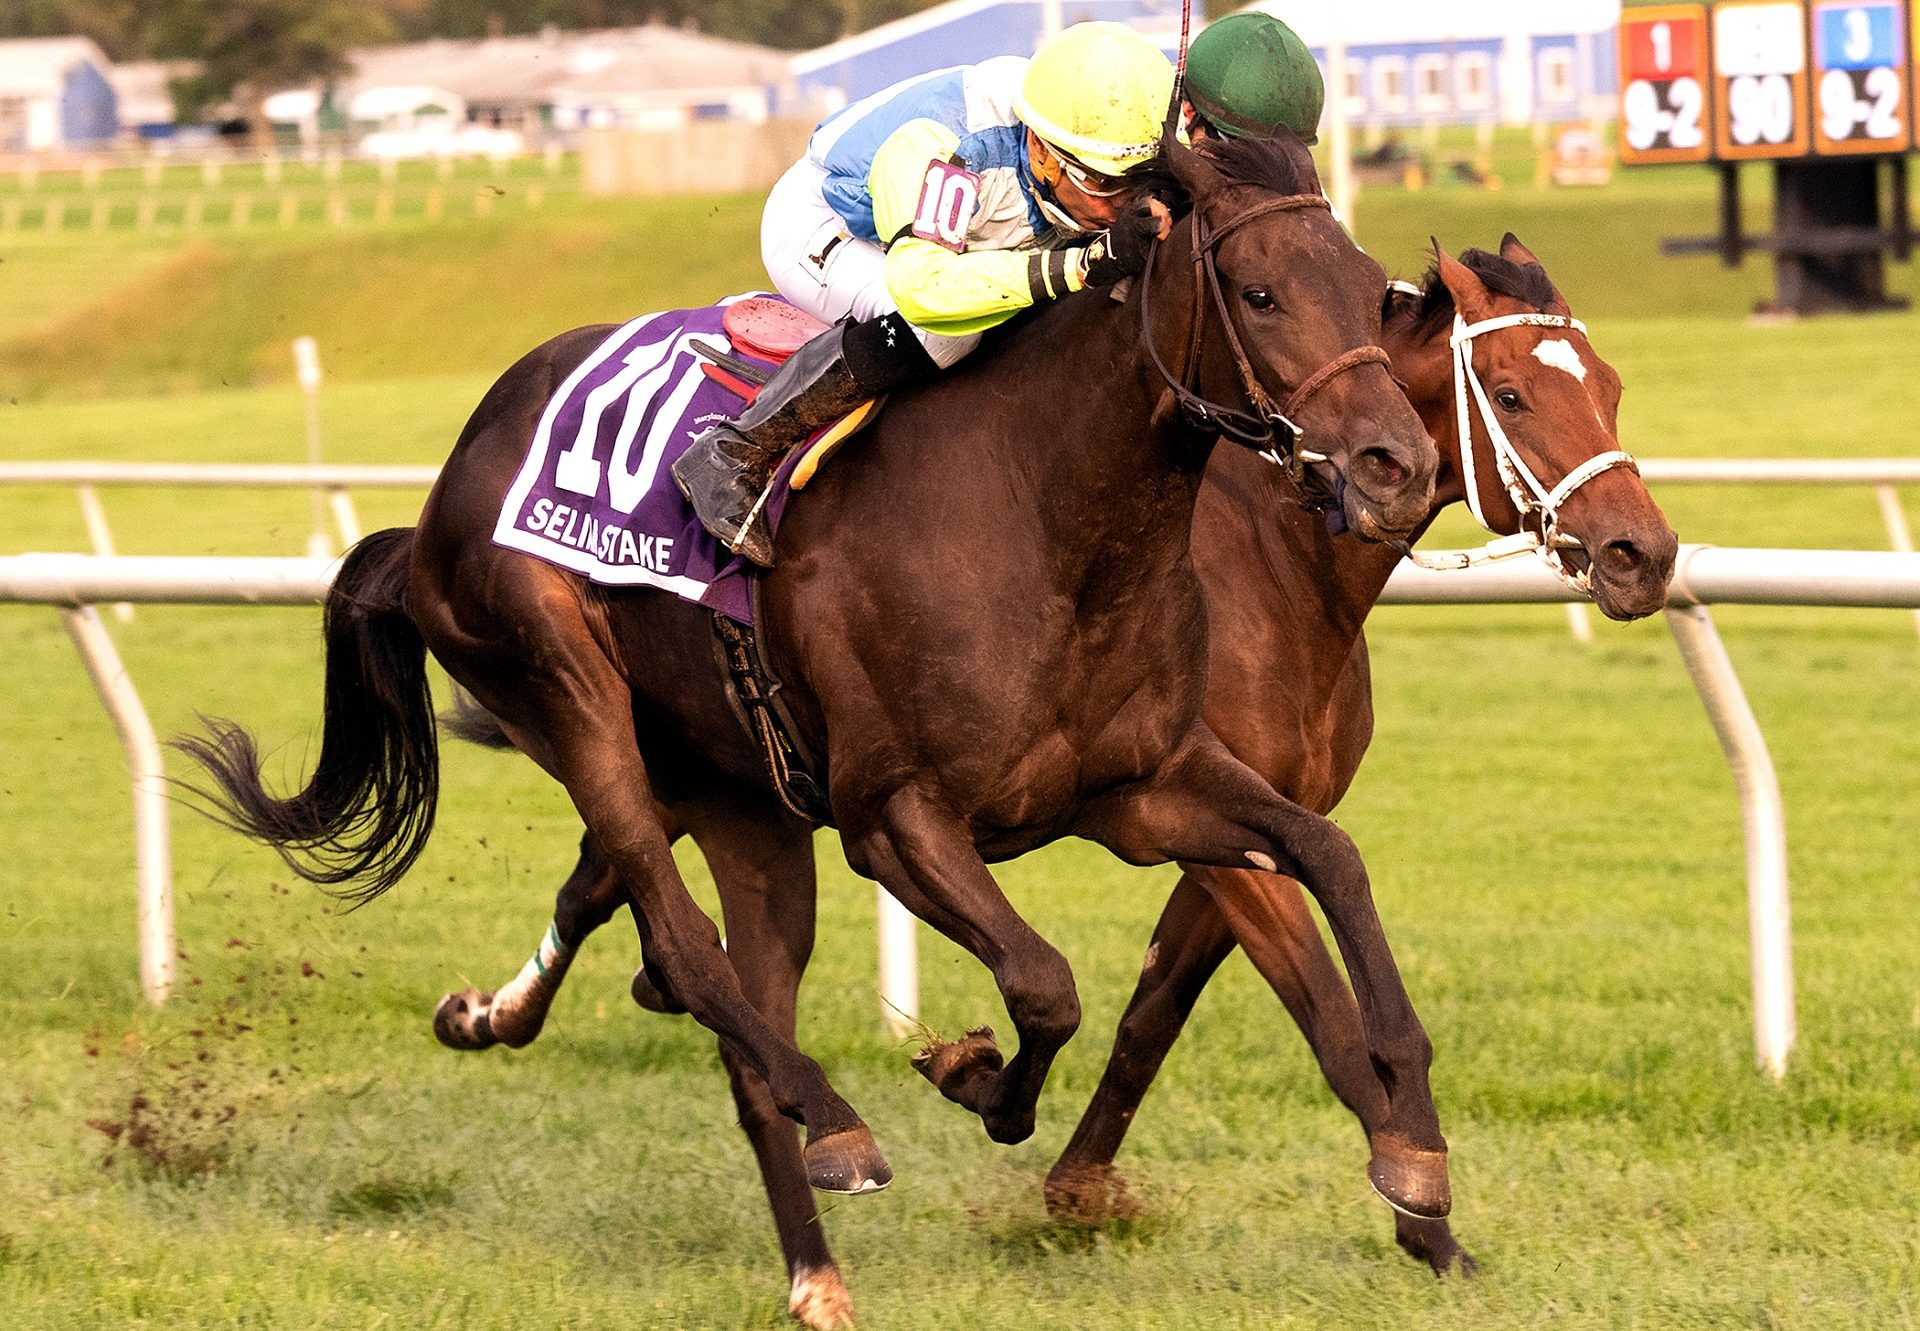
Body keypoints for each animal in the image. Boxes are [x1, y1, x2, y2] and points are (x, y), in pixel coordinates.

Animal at [183, 137, 1443, 1329]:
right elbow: (1044, 983)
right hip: (559, 681)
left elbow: (1329, 855)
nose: (1398, 464)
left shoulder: (1145, 787)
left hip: (746, 803)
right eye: (1259, 292)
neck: (1042, 512)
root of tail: (442, 495)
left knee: (732, 1016)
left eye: (1370, 287)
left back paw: (811, 1266)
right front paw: (971, 1074)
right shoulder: (895, 816)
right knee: (683, 933)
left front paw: (1417, 1148)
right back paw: (833, 1120)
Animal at [424, 236, 1681, 1306]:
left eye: (1614, 386)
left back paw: (517, 1007)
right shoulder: (1205, 829)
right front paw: (1415, 1206)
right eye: (1512, 395)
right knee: (636, 870)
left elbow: (1159, 1006)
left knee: (609, 873)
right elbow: (1315, 1014)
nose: (1645, 552)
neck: (1263, 557)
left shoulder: (1209, 804)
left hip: (716, 751)